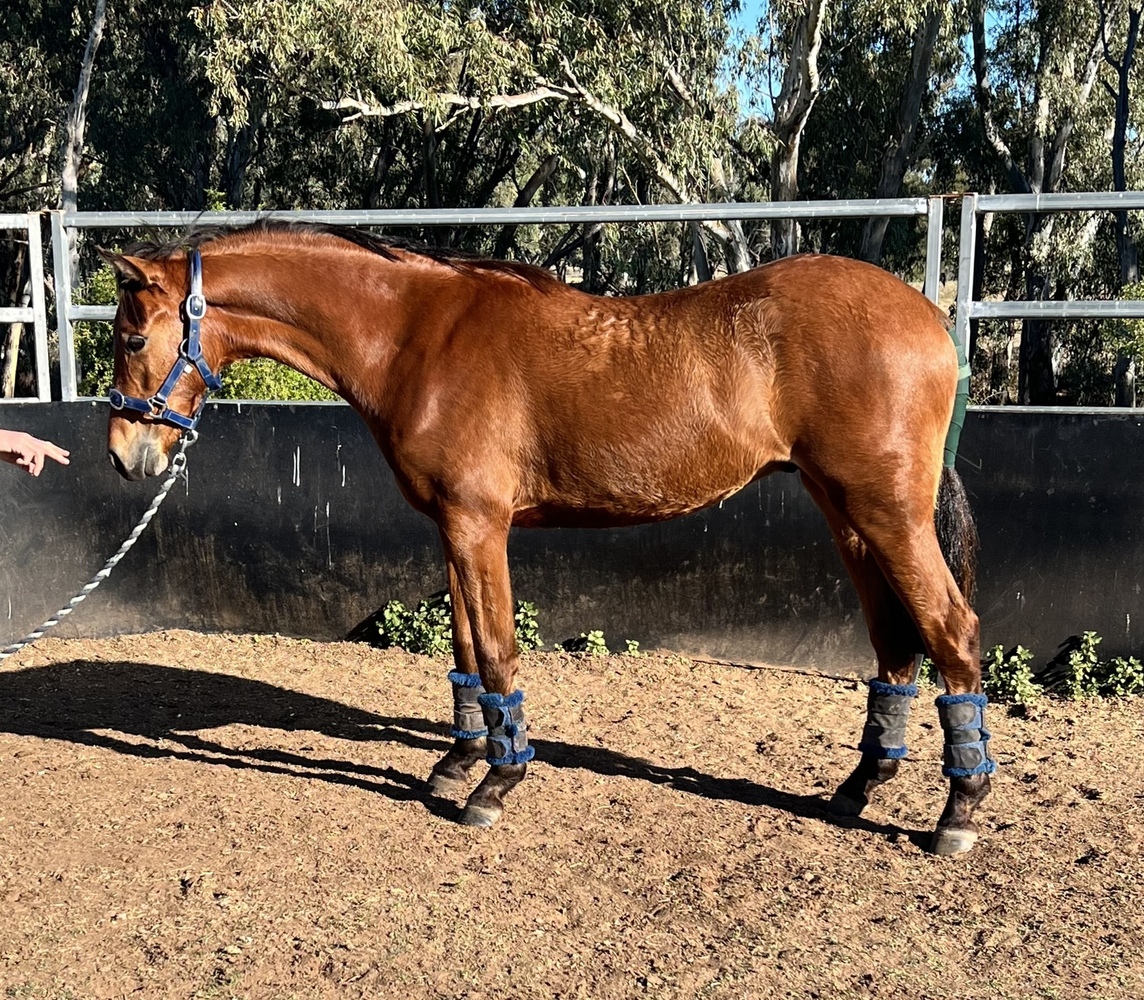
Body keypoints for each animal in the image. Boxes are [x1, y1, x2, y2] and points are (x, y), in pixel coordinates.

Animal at [102, 220, 994, 855]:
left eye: (133, 337)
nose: (123, 455)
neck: (417, 334)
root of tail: (929, 317)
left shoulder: (479, 525)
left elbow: (497, 652)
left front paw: (494, 787)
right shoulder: (453, 529)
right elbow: (465, 650)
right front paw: (457, 762)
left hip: (887, 514)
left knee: (951, 630)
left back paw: (958, 810)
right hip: (848, 514)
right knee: (896, 641)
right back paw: (861, 785)